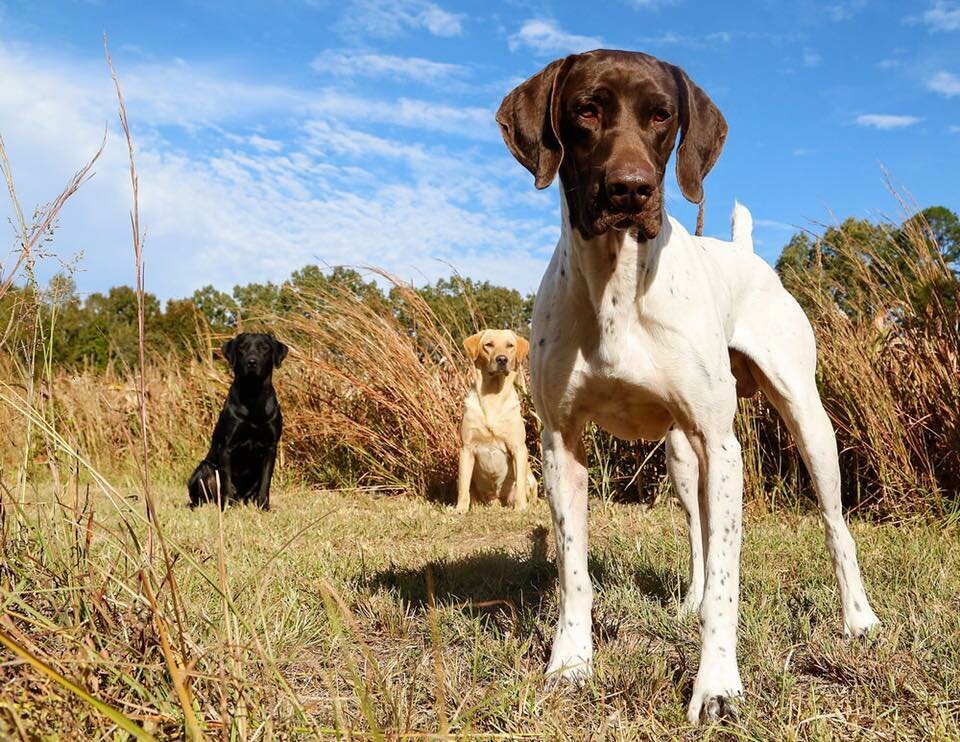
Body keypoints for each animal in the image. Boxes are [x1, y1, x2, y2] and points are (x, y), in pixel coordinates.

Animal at [187, 332, 284, 512]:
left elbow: (265, 482)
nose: (252, 362)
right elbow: (226, 481)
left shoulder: (270, 448)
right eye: (242, 348)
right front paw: (227, 506)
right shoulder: (227, 447)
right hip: (204, 468)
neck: (253, 396)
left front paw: (264, 507)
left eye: (264, 348)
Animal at [456, 328, 536, 516]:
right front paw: (459, 509)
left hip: (531, 478)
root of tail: (497, 502)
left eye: (510, 345)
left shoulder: (518, 448)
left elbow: (520, 487)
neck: (492, 396)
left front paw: (520, 508)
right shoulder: (466, 448)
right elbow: (463, 487)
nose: (502, 359)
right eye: (489, 345)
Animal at [498, 49, 880, 724]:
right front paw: (570, 666)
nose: (630, 189)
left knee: (835, 526)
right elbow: (574, 572)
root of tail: (746, 253)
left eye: (662, 116)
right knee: (700, 535)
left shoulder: (724, 447)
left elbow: (730, 582)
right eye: (585, 110)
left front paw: (719, 686)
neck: (618, 285)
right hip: (681, 455)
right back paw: (690, 602)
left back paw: (857, 619)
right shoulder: (560, 443)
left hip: (805, 424)